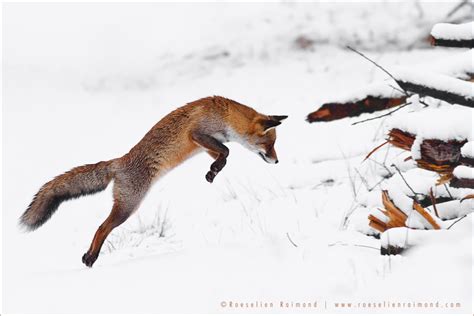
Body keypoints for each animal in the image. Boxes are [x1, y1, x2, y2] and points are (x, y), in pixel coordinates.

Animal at [20, 95, 286, 266]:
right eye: (269, 144)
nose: (277, 162)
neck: (226, 116)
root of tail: (119, 162)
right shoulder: (198, 134)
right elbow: (227, 151)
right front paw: (214, 170)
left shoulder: (206, 144)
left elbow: (223, 156)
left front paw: (213, 172)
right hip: (129, 206)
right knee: (101, 228)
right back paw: (91, 257)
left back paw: (89, 256)